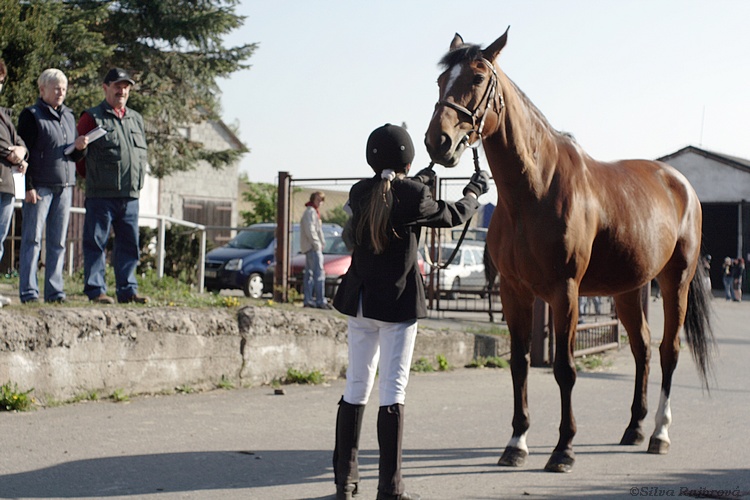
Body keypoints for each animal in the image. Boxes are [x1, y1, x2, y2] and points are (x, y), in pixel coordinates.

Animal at [426, 29, 712, 474]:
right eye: (441, 81)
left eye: (477, 78)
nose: (437, 142)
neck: (534, 191)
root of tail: (681, 184)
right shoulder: (513, 292)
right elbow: (520, 363)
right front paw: (516, 443)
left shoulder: (566, 292)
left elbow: (565, 368)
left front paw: (563, 449)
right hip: (629, 290)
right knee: (642, 348)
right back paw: (634, 428)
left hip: (674, 282)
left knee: (669, 350)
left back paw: (659, 434)